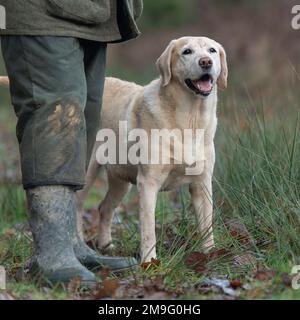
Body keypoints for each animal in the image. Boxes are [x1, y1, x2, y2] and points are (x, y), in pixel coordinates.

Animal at [77, 36, 227, 264]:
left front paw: (210, 254)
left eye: (212, 50)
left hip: (121, 180)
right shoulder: (148, 183)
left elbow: (206, 225)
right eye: (187, 51)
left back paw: (106, 246)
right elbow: (148, 229)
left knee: (104, 207)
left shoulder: (202, 183)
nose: (206, 62)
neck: (190, 120)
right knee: (75, 208)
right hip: (86, 172)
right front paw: (149, 262)